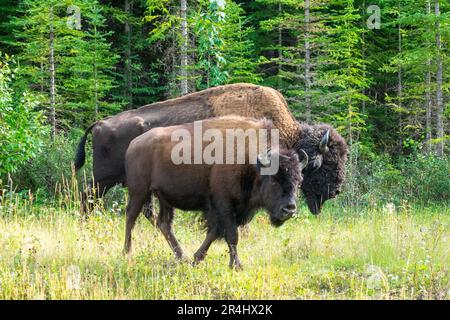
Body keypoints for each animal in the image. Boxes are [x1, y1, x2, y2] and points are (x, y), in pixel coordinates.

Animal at [122, 116, 310, 268]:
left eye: (299, 181)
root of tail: (133, 144)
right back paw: (127, 252)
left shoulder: (221, 209)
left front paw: (196, 258)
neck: (250, 161)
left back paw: (181, 256)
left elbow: (214, 232)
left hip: (164, 198)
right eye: (274, 179)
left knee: (164, 223)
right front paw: (236, 265)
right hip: (139, 191)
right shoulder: (224, 204)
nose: (289, 209)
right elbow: (232, 235)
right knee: (131, 217)